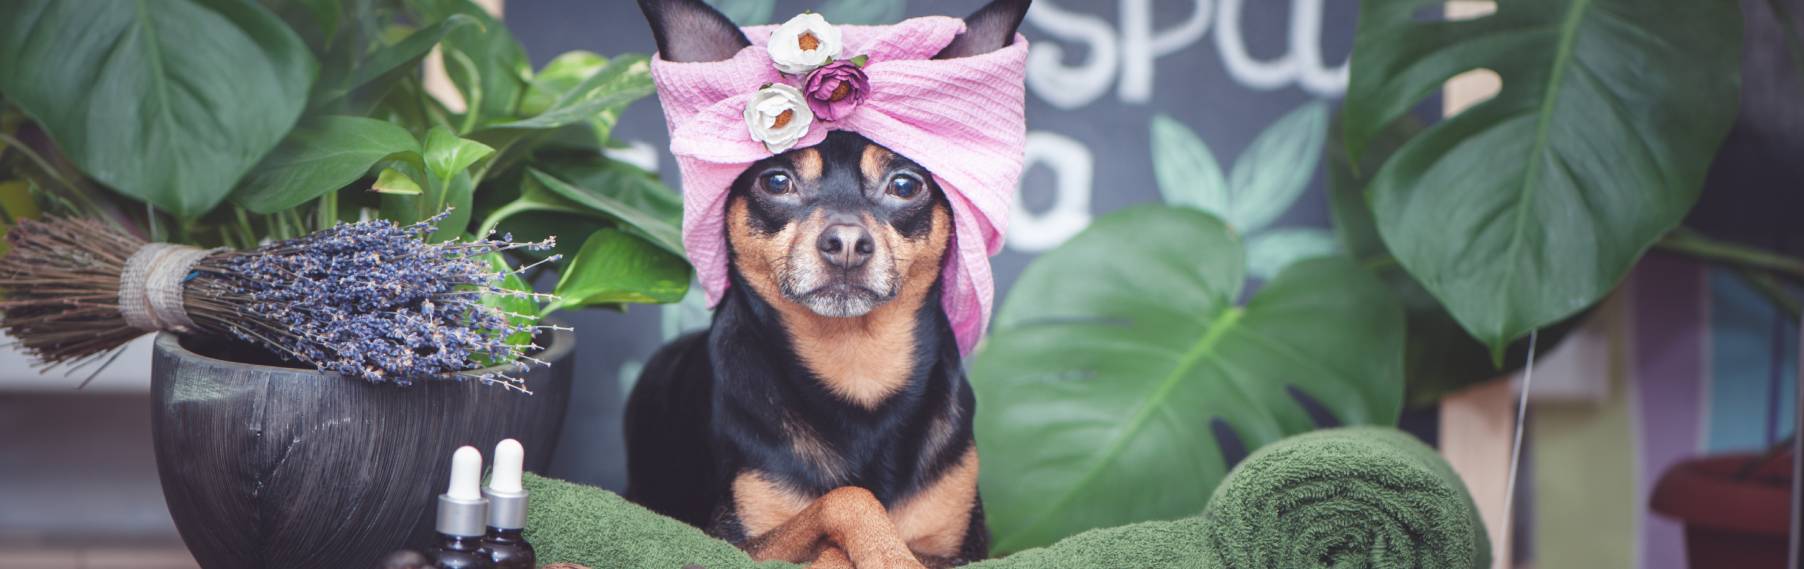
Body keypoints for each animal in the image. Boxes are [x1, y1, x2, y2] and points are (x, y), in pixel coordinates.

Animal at [624, 2, 1031, 567]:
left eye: (905, 185)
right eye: (777, 181)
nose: (846, 243)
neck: (857, 370)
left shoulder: (967, 550)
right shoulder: (729, 542)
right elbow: (847, 500)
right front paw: (884, 552)